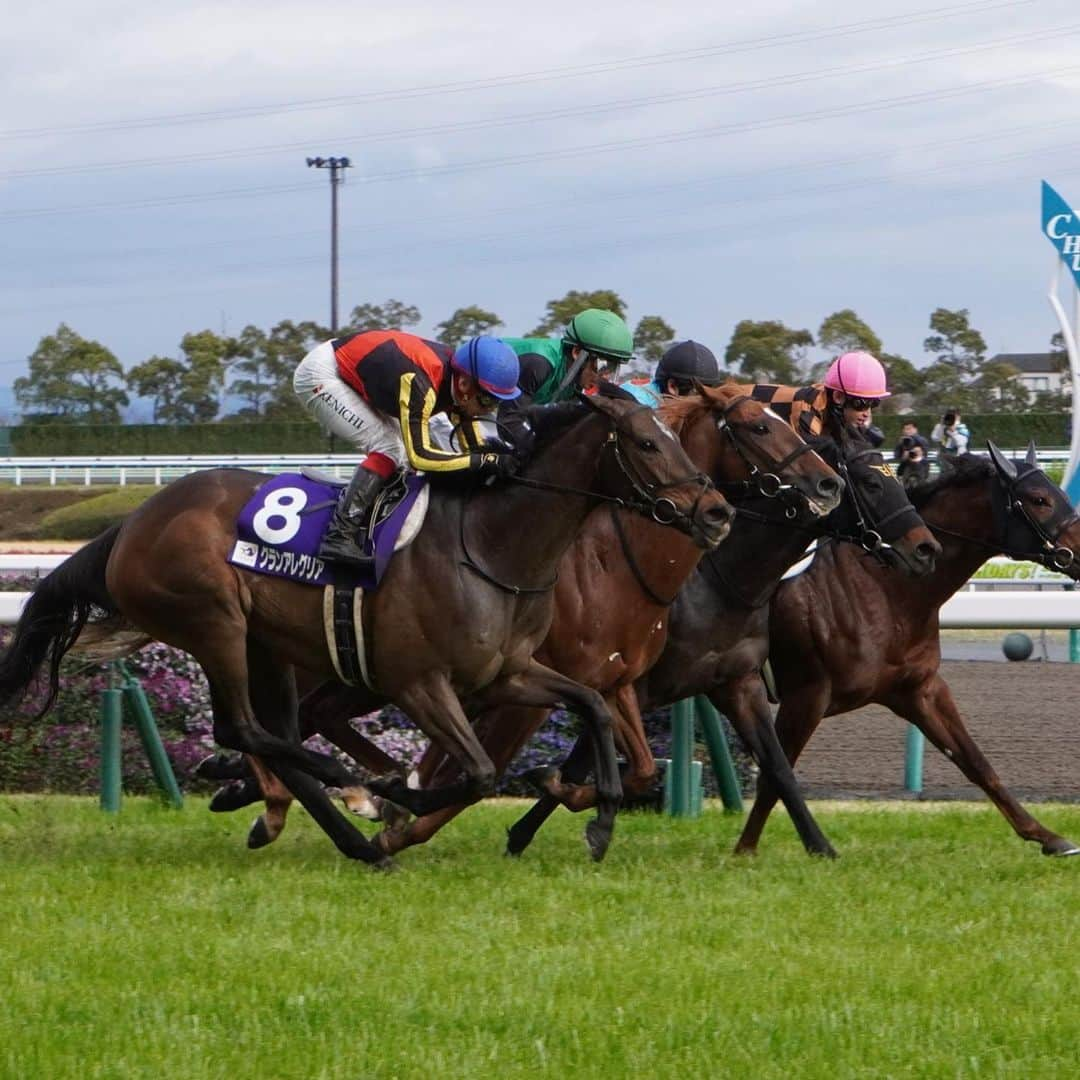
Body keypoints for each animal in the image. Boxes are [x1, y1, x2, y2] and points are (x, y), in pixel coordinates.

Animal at [2, 393, 734, 864]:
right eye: (647, 442)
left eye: (675, 437)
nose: (717, 511)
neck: (491, 546)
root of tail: (131, 523)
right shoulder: (419, 683)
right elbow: (477, 773)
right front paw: (397, 797)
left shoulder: (510, 671)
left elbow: (592, 710)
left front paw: (602, 818)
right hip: (214, 622)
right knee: (249, 730)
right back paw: (348, 792)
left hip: (265, 644)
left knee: (271, 732)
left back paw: (346, 833)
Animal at [505, 425, 946, 855]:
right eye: (871, 482)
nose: (926, 549)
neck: (720, 582)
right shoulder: (634, 684)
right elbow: (589, 760)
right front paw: (532, 824)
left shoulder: (738, 682)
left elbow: (778, 766)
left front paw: (820, 847)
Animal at [738, 442, 1080, 855]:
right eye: (1040, 500)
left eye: (1061, 495)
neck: (887, 588)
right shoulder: (807, 695)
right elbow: (775, 775)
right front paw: (745, 850)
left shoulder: (917, 688)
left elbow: (975, 761)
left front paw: (1048, 836)